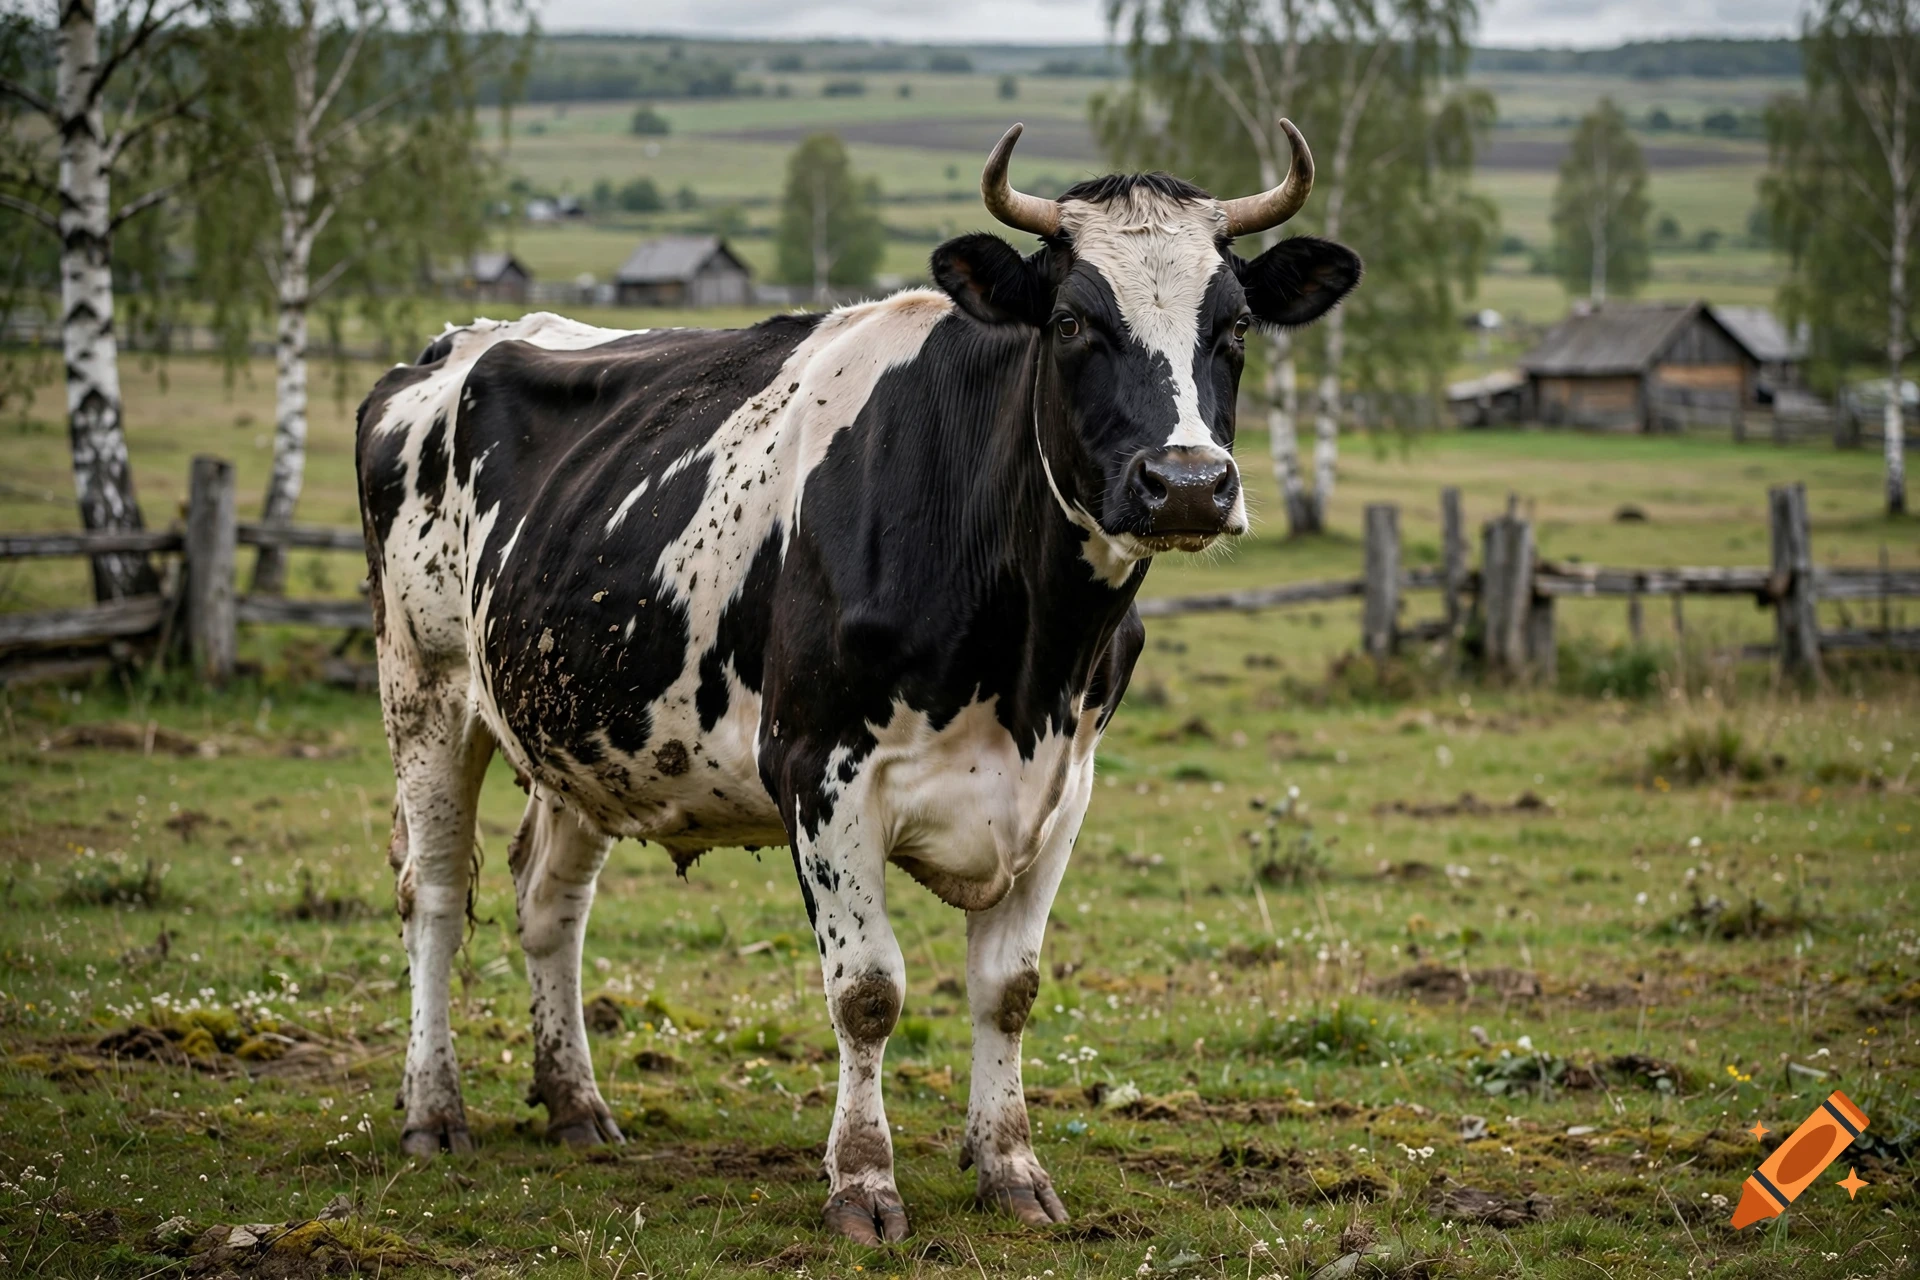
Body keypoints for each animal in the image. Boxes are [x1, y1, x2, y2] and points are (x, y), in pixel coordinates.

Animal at [356, 120, 1359, 1244]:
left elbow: (1009, 989)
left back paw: (576, 1103)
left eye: (1236, 325)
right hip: (424, 688)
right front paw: (865, 1183)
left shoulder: (1064, 785)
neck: (1029, 657)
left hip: (583, 728)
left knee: (549, 903)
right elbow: (868, 991)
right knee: (437, 893)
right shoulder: (820, 769)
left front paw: (1011, 1166)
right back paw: (434, 1110)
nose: (1187, 484)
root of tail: (457, 344)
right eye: (1069, 320)